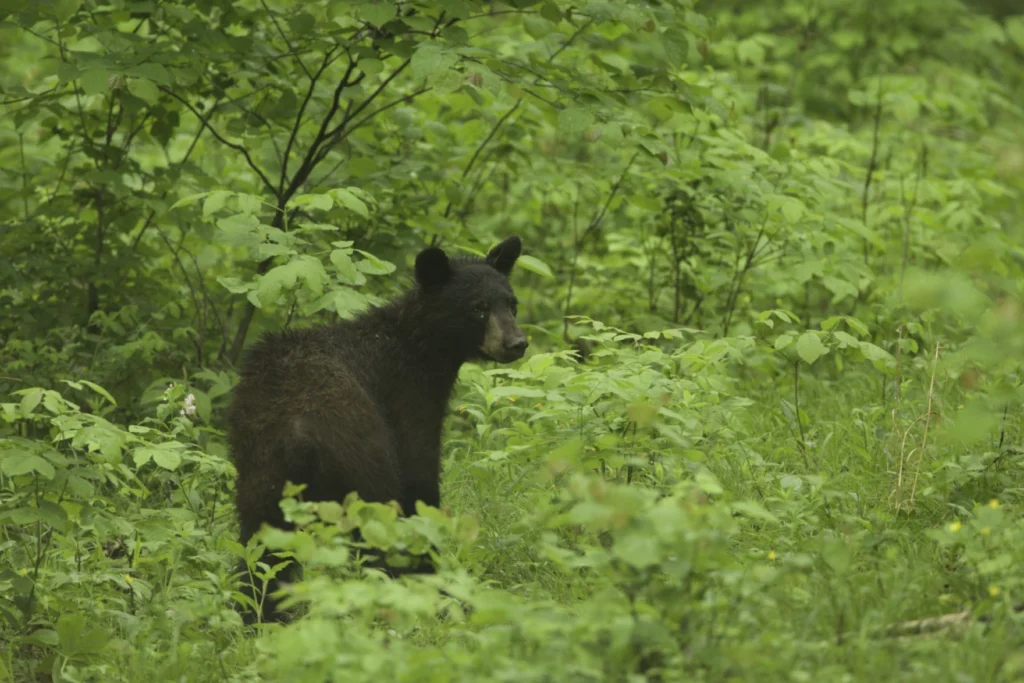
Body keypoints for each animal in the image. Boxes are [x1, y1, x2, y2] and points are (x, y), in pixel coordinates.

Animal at [227, 236, 524, 626]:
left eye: (512, 304)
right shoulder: (407, 399)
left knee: (260, 541)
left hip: (260, 464)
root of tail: (298, 429)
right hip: (362, 452)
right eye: (478, 308)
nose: (517, 343)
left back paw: (260, 615)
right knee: (380, 524)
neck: (420, 350)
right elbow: (419, 481)